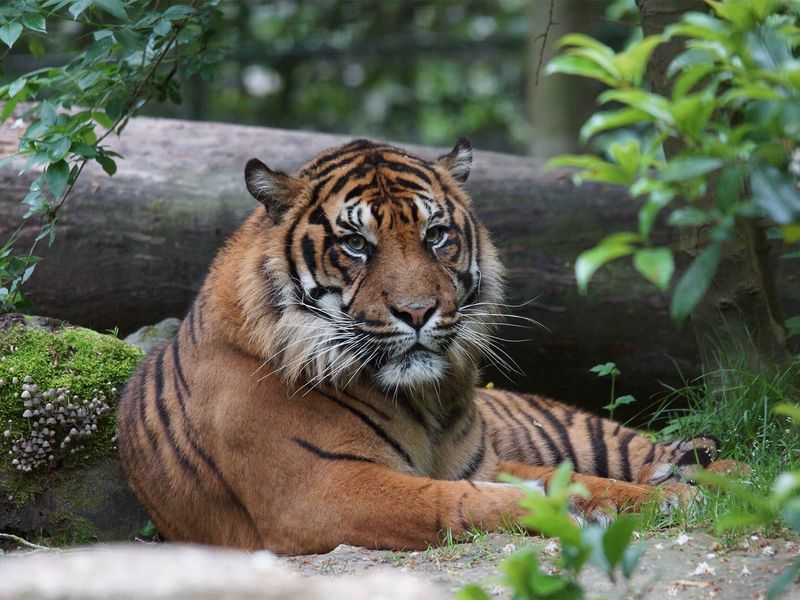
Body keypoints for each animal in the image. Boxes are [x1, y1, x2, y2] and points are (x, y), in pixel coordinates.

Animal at [116, 138, 737, 555]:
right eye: (355, 244)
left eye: (435, 235)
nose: (417, 312)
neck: (422, 399)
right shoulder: (320, 491)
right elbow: (456, 499)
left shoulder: (484, 459)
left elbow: (587, 481)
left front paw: (667, 499)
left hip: (579, 430)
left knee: (663, 448)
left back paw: (727, 477)